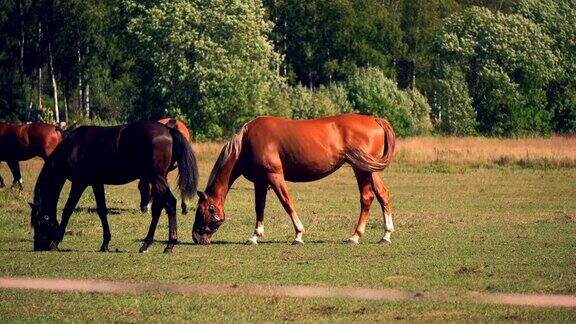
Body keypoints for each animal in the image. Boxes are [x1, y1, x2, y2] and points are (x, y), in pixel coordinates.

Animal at [31, 121, 198, 253]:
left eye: (38, 223)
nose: (38, 246)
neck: (73, 147)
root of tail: (168, 131)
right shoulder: (96, 183)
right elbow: (102, 210)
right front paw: (105, 244)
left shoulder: (80, 183)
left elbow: (68, 209)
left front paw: (55, 243)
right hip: (157, 179)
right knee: (158, 208)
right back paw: (146, 244)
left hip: (157, 178)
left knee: (170, 203)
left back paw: (169, 245)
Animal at [194, 114, 396, 246]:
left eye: (203, 210)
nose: (196, 237)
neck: (247, 142)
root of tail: (375, 119)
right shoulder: (260, 181)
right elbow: (259, 208)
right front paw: (254, 237)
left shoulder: (274, 176)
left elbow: (287, 203)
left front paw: (298, 235)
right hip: (370, 170)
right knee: (383, 195)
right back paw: (386, 235)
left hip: (361, 169)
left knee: (367, 198)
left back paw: (355, 236)